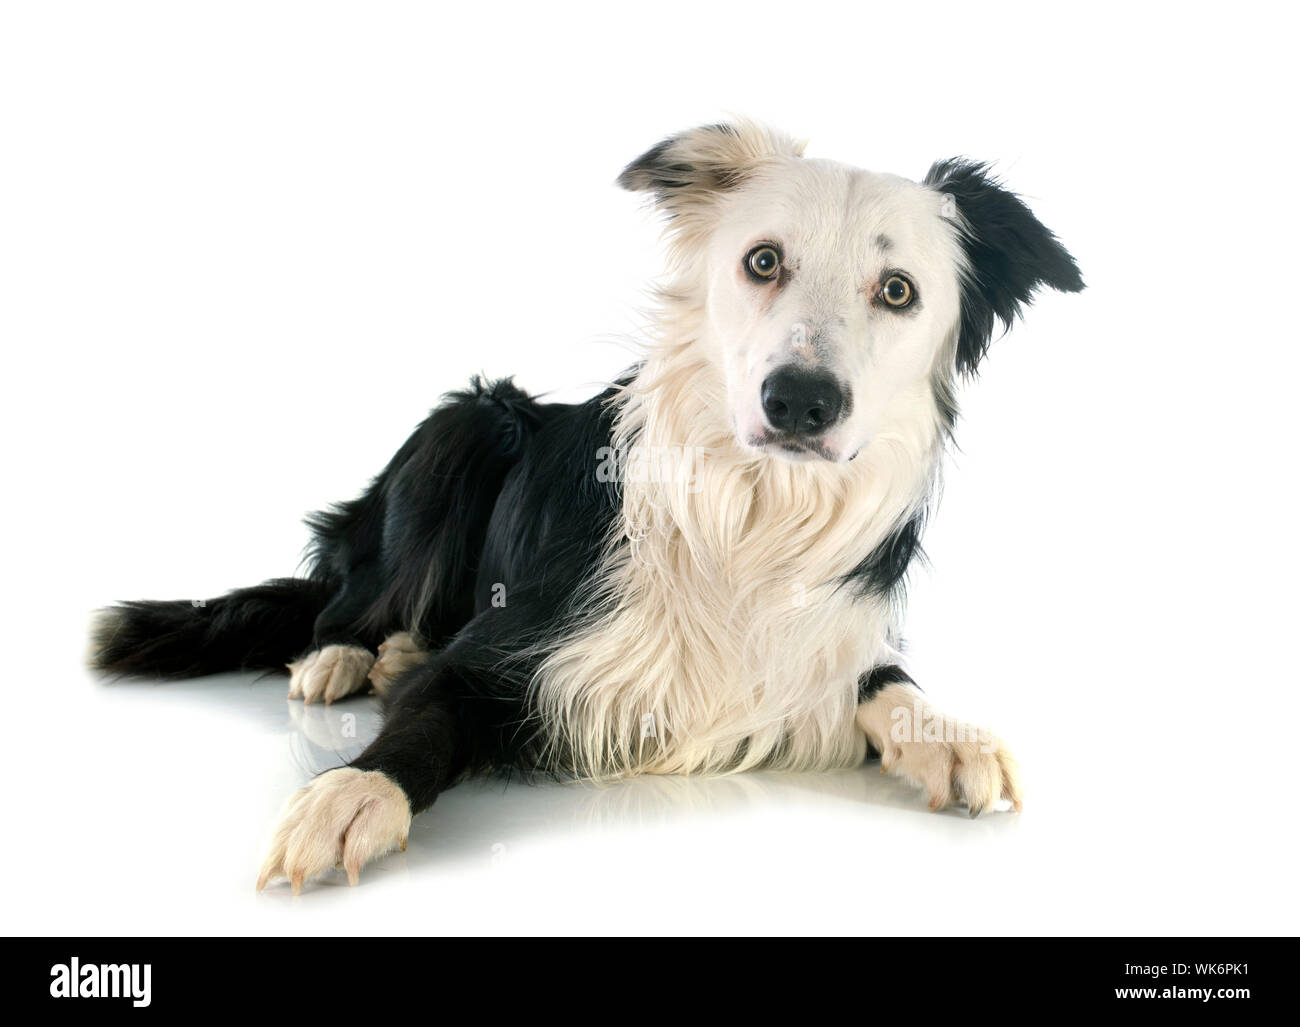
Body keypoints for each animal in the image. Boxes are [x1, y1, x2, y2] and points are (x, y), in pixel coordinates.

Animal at [91, 120, 1081, 894]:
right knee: (346, 592)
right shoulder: (499, 648)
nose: (800, 400)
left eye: (898, 290)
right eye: (763, 261)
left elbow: (885, 678)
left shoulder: (823, 645)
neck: (748, 516)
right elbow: (423, 721)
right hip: (466, 424)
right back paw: (344, 654)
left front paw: (948, 733)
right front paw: (350, 793)